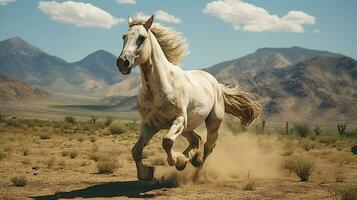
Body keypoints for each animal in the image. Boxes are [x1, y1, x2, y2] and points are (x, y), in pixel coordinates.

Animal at [116, 16, 258, 181]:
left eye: (142, 37)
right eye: (124, 37)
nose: (123, 62)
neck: (159, 88)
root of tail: (216, 84)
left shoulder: (179, 119)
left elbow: (167, 142)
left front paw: (179, 161)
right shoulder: (149, 124)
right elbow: (137, 150)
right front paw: (147, 173)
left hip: (212, 123)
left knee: (208, 147)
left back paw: (196, 171)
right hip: (188, 126)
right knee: (196, 139)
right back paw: (193, 158)